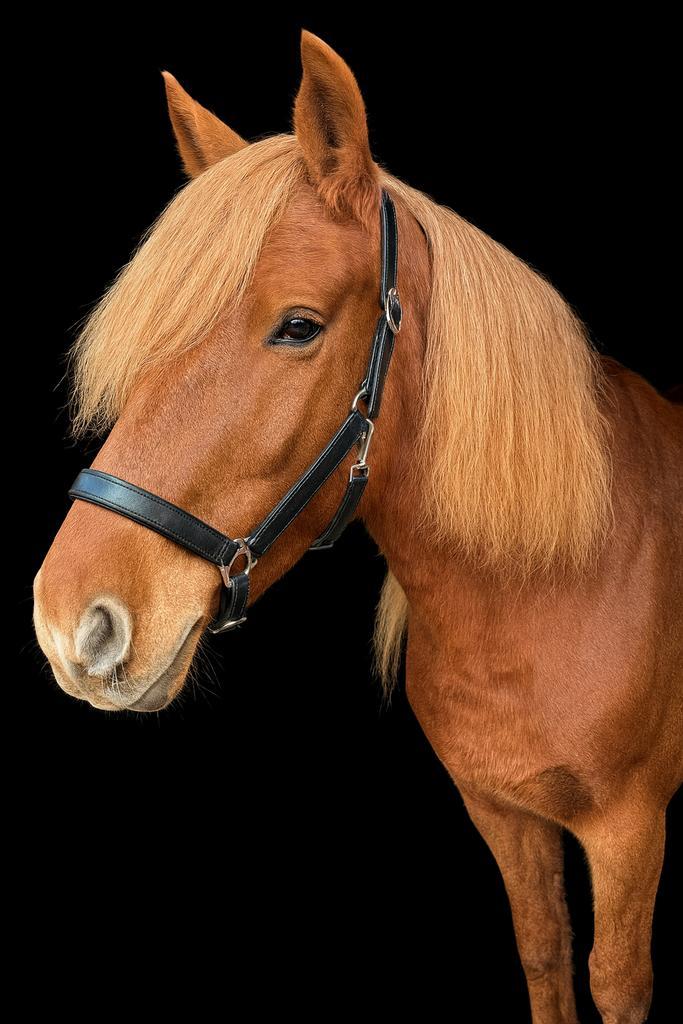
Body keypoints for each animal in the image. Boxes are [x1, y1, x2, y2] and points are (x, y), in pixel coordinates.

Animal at [32, 30, 682, 1024]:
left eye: (298, 326)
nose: (72, 624)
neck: (559, 583)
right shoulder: (502, 812)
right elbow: (544, 953)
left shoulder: (628, 829)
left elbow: (614, 981)